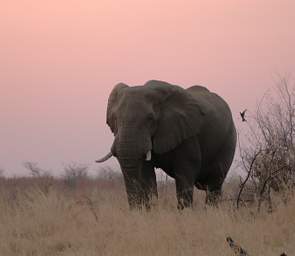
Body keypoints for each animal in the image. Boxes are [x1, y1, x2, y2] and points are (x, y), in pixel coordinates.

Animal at [97, 80, 238, 210]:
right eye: (114, 119)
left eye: (150, 119)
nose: (136, 211)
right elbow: (147, 175)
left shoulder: (187, 134)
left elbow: (184, 174)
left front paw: (184, 214)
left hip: (228, 140)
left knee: (214, 184)